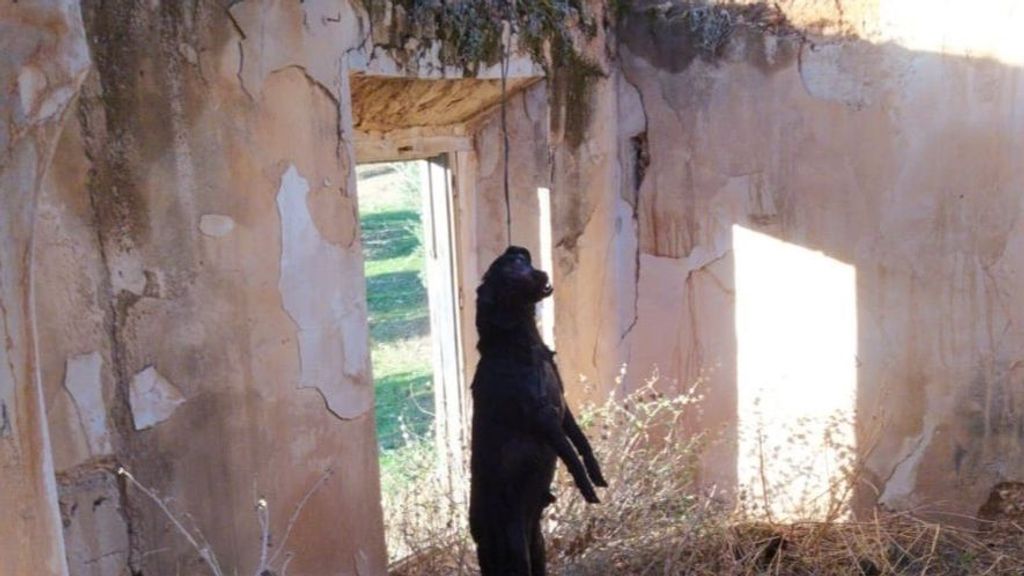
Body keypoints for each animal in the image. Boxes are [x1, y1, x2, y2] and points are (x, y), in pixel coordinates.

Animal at [471, 245, 606, 573]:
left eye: (521, 261)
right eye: (508, 279)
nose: (542, 274)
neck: (525, 346)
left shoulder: (562, 406)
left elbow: (581, 442)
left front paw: (596, 474)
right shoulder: (542, 415)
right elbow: (569, 452)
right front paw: (587, 488)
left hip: (538, 543)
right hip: (516, 548)